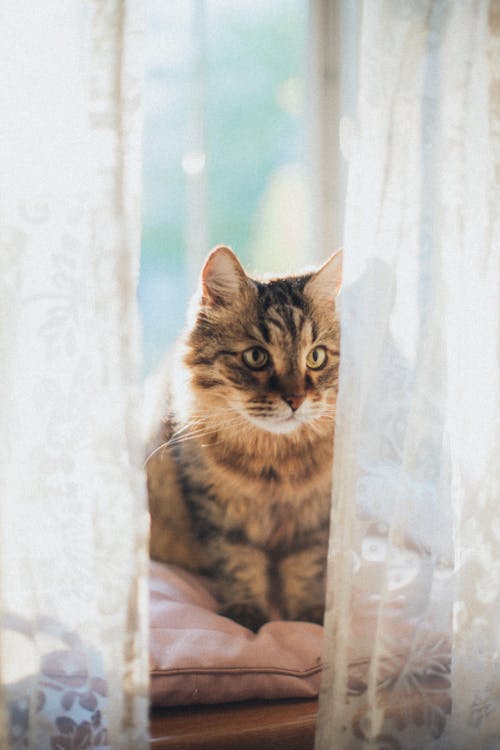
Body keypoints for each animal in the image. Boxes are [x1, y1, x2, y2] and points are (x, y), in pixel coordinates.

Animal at [146, 248, 342, 636]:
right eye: (256, 356)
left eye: (316, 356)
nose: (296, 400)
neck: (275, 465)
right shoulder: (221, 514)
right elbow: (240, 566)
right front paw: (248, 615)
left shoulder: (312, 518)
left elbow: (304, 570)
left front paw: (308, 616)